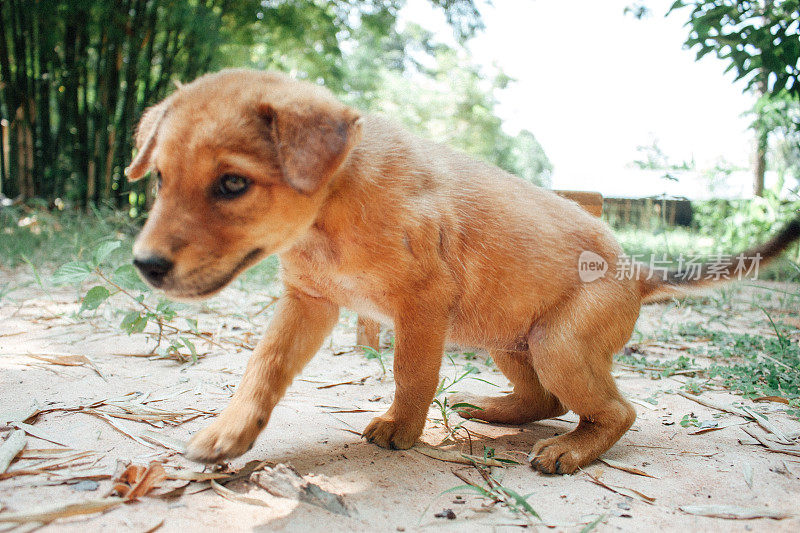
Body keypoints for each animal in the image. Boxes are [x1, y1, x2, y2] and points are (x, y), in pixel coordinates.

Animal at [125, 68, 800, 472]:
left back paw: (568, 451)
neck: (334, 208)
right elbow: (262, 369)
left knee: (615, 412)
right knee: (545, 397)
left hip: (558, 341)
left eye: (232, 184)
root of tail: (638, 270)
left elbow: (411, 373)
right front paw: (228, 434)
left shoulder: (421, 304)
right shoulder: (309, 303)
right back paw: (493, 411)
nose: (146, 266)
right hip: (508, 335)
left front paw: (401, 428)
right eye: (158, 178)